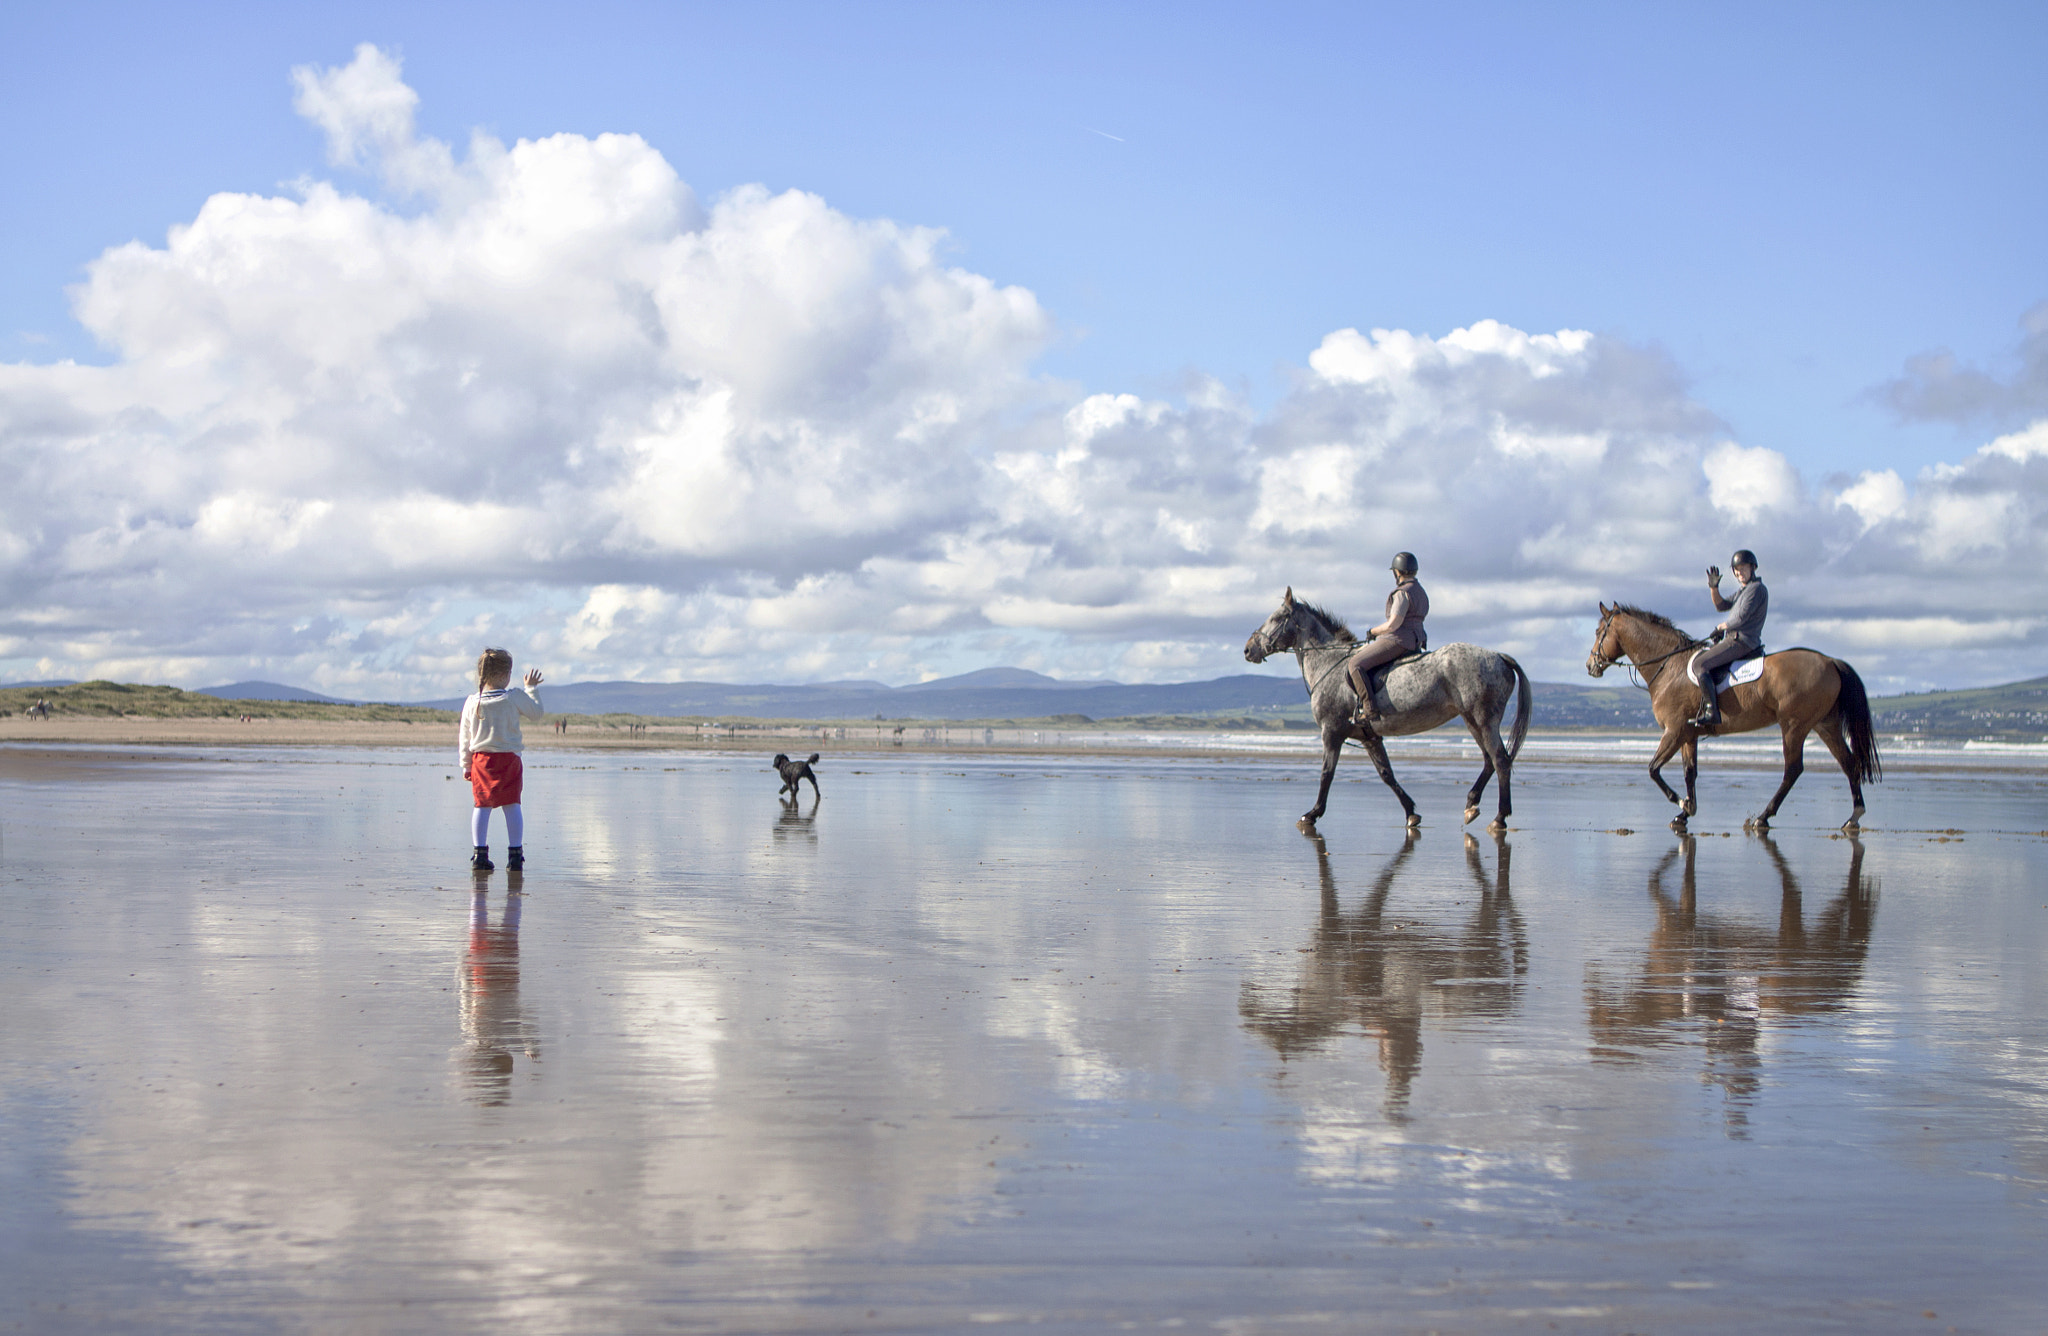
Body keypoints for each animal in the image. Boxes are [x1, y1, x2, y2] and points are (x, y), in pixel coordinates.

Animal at [1236, 590, 1531, 827]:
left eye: (1276, 618)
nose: (1248, 650)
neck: (1328, 663)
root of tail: (1498, 656)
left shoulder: (1331, 732)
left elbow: (1326, 774)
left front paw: (1312, 814)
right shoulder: (1370, 737)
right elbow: (1387, 774)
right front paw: (1411, 813)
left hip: (1484, 719)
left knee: (1500, 760)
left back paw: (1500, 817)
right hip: (1472, 720)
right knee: (1489, 760)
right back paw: (1471, 805)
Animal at [1581, 598, 1884, 827]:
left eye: (1598, 633)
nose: (1590, 666)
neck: (1669, 667)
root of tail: (1830, 661)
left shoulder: (1674, 731)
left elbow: (1653, 769)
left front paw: (1682, 804)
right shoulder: (1688, 734)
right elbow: (1690, 772)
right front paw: (1685, 813)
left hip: (1794, 725)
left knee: (1793, 769)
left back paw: (1763, 817)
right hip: (1824, 725)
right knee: (1848, 763)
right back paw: (1854, 817)